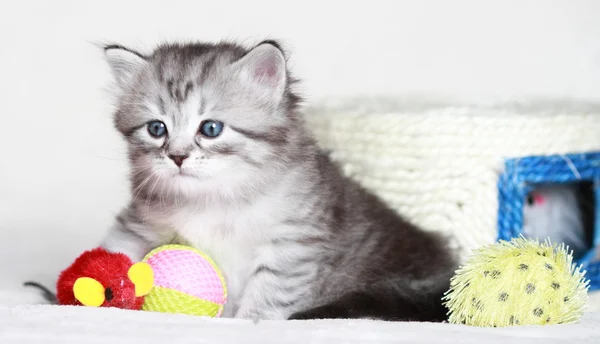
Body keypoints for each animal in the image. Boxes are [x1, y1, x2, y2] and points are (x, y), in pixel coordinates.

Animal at [96, 41, 458, 322]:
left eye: (211, 128)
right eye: (156, 129)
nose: (177, 157)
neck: (214, 197)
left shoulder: (294, 241)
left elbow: (270, 289)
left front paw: (252, 320)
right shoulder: (139, 220)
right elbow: (117, 248)